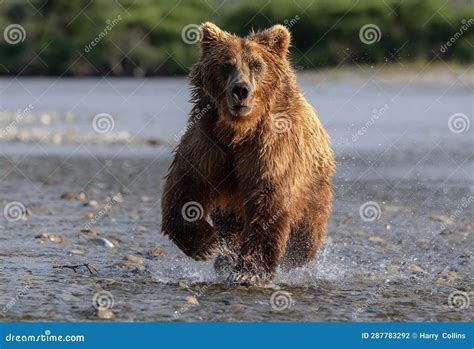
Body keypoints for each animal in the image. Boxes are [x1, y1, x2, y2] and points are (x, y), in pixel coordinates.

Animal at [161, 21, 336, 282]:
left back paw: (293, 254)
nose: (241, 90)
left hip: (313, 186)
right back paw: (224, 258)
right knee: (229, 225)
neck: (238, 131)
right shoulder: (209, 145)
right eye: (226, 64)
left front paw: (249, 272)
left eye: (256, 64)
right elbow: (185, 185)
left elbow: (268, 198)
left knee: (307, 232)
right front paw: (206, 246)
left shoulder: (270, 149)